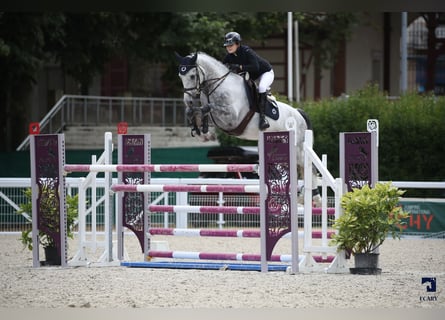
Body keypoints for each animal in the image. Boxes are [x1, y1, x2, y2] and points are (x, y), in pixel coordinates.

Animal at [175, 50, 320, 205]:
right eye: (180, 76)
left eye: (192, 75)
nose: (189, 101)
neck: (217, 86)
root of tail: (299, 113)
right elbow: (197, 111)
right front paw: (200, 131)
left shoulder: (231, 118)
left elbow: (207, 108)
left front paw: (206, 133)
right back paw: (302, 198)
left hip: (299, 148)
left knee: (310, 168)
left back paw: (315, 198)